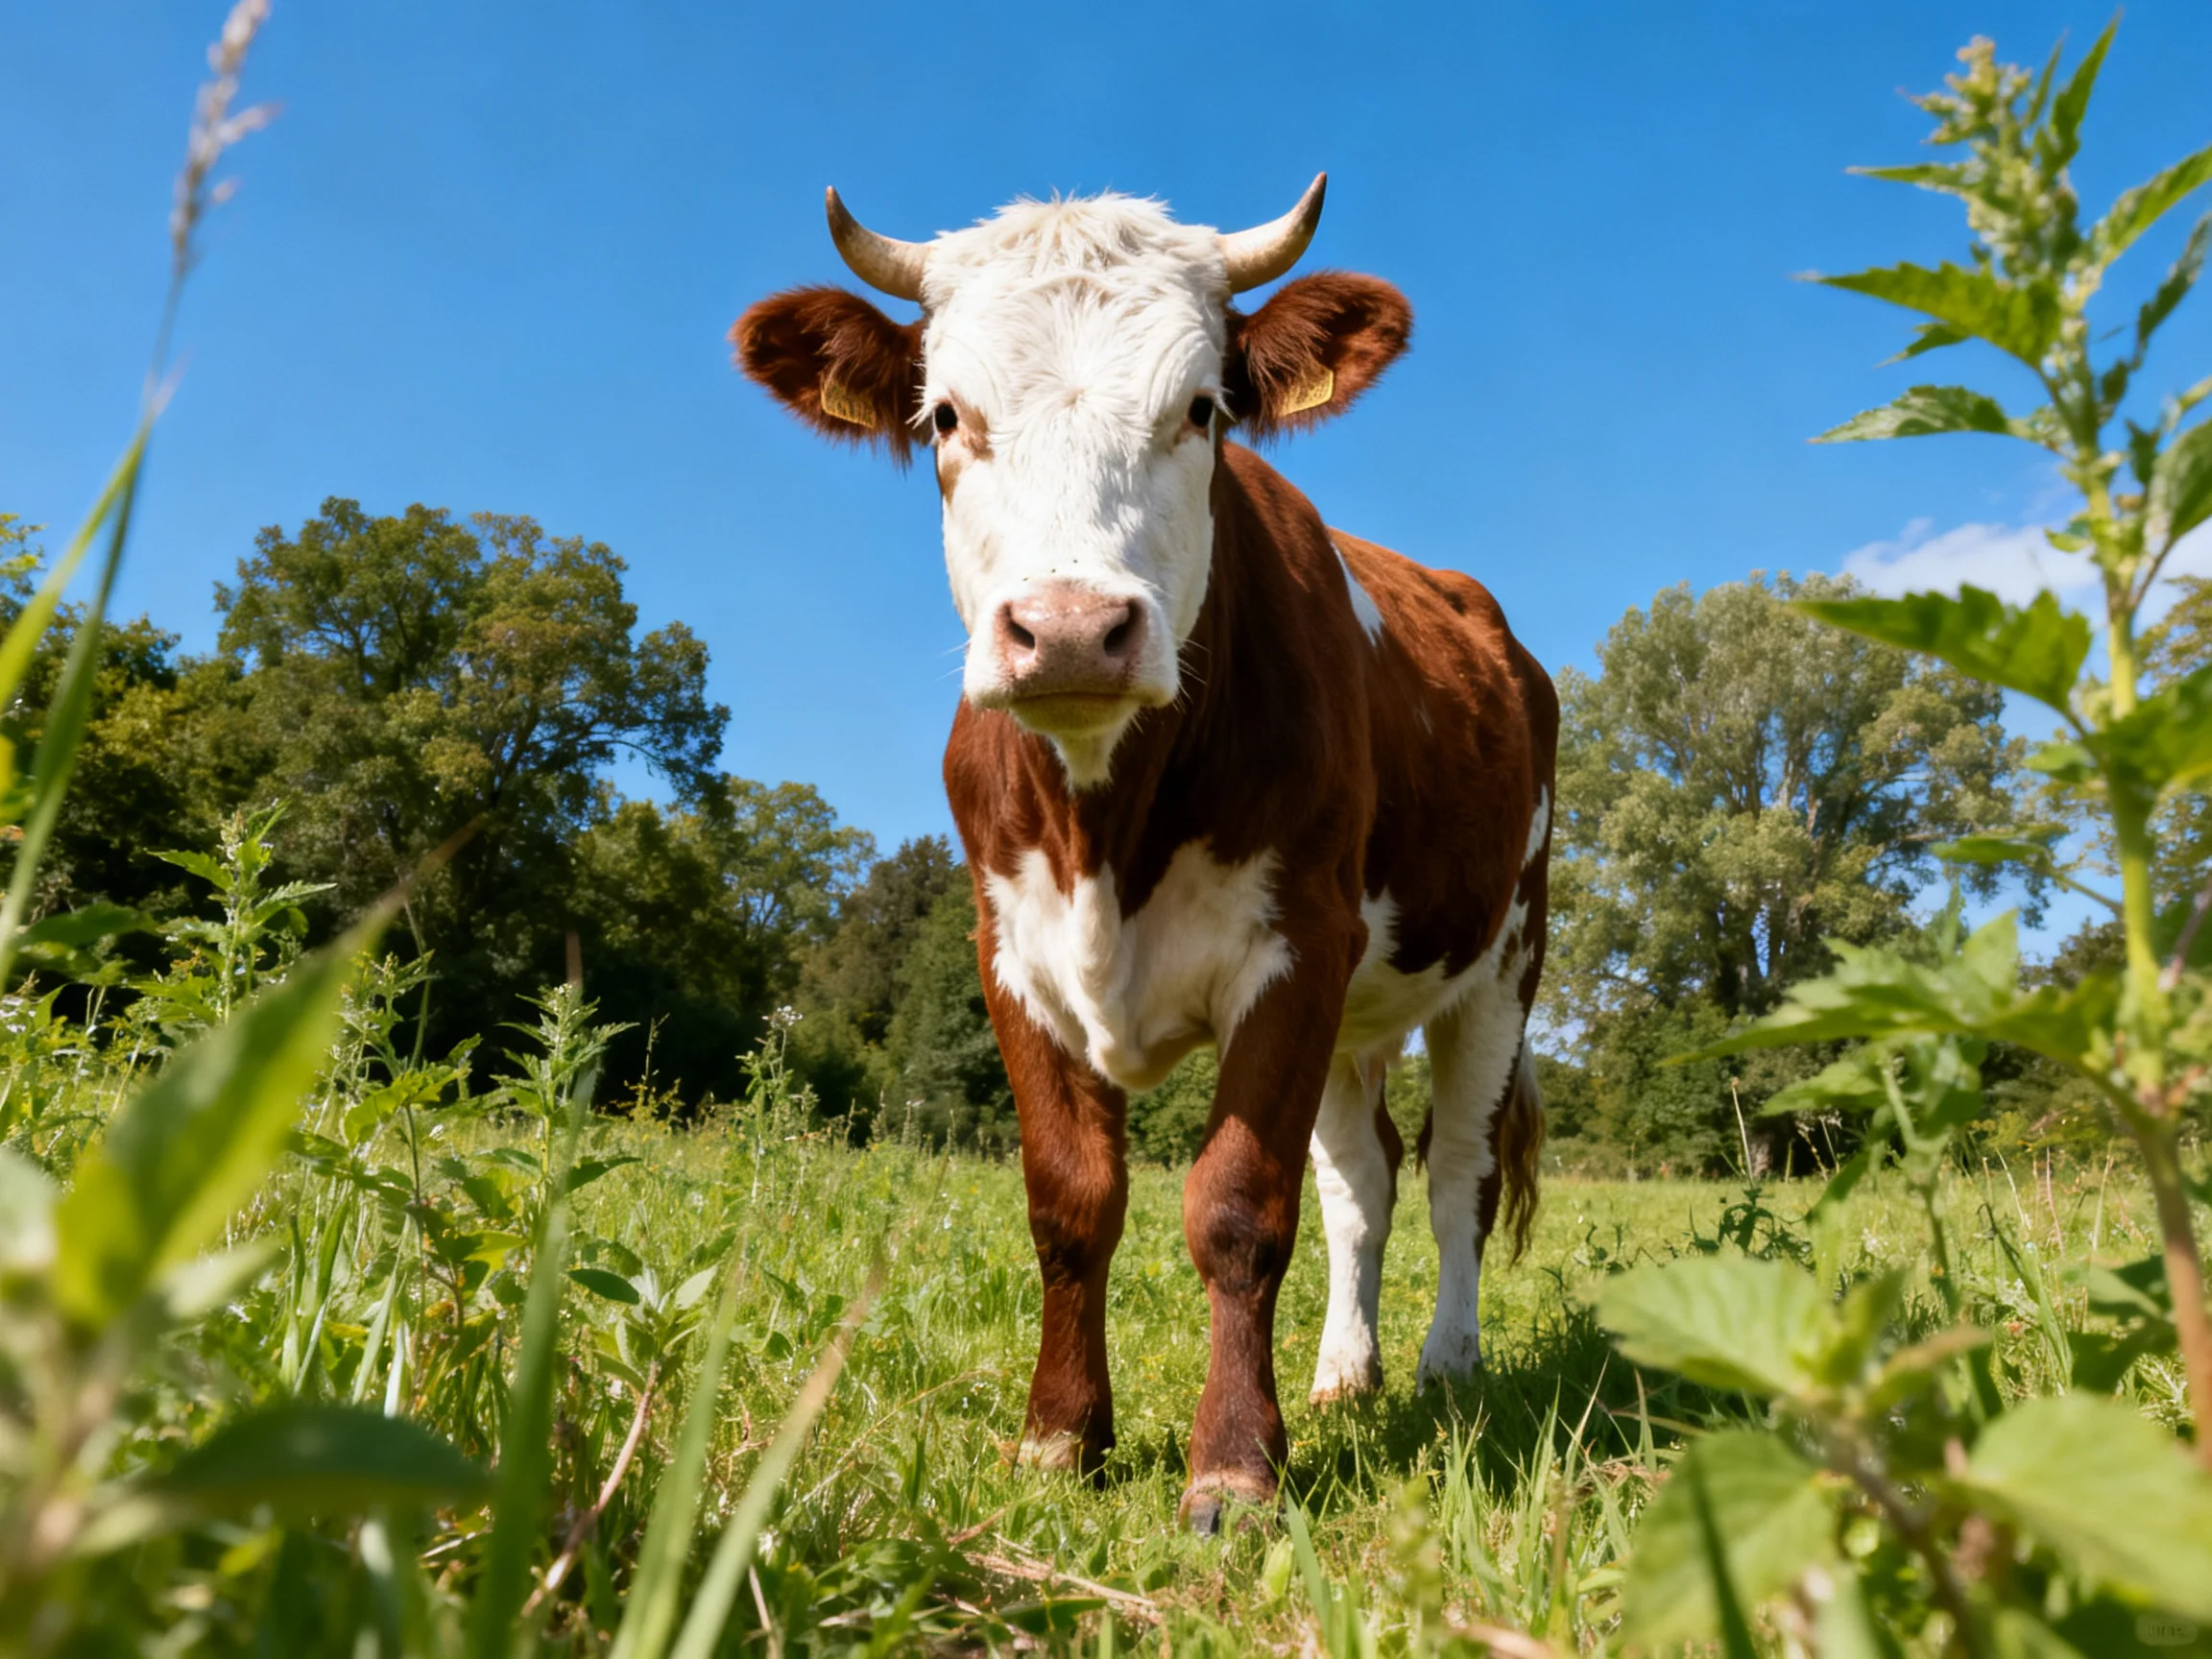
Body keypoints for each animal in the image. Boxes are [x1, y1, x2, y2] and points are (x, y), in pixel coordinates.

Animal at [733, 176, 1555, 1531]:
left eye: (1203, 408)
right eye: (946, 414)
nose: (1070, 630)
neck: (1104, 827)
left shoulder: (1296, 945)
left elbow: (1236, 1207)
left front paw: (1235, 1466)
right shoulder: (1014, 955)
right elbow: (1071, 1200)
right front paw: (1061, 1437)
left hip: (1500, 961)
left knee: (1458, 1175)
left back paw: (1447, 1366)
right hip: (1360, 1006)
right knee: (1364, 1178)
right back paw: (1346, 1374)